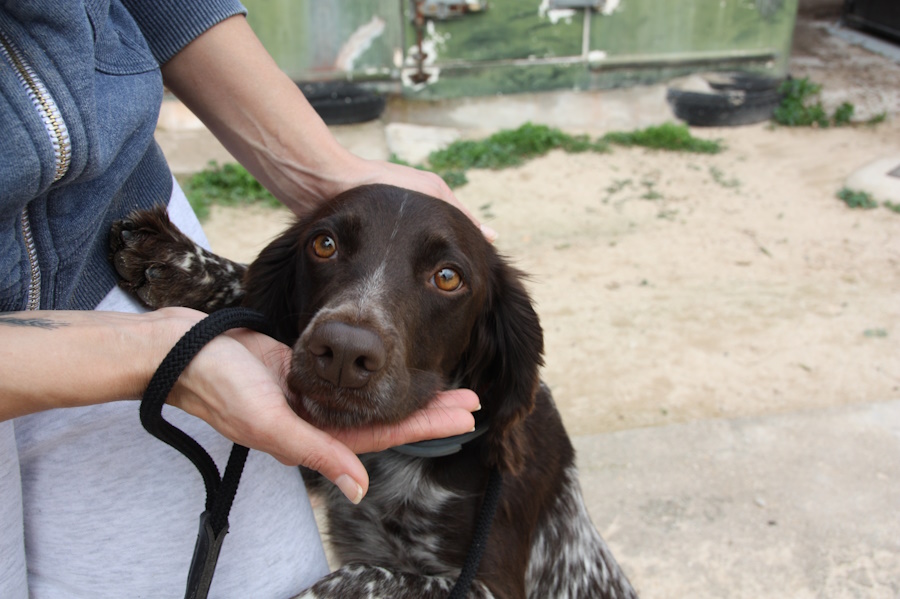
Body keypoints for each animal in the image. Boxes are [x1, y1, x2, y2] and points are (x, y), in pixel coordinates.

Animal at [109, 184, 636, 599]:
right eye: (324, 244)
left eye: (448, 276)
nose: (343, 352)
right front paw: (181, 262)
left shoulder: (488, 585)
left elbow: (360, 576)